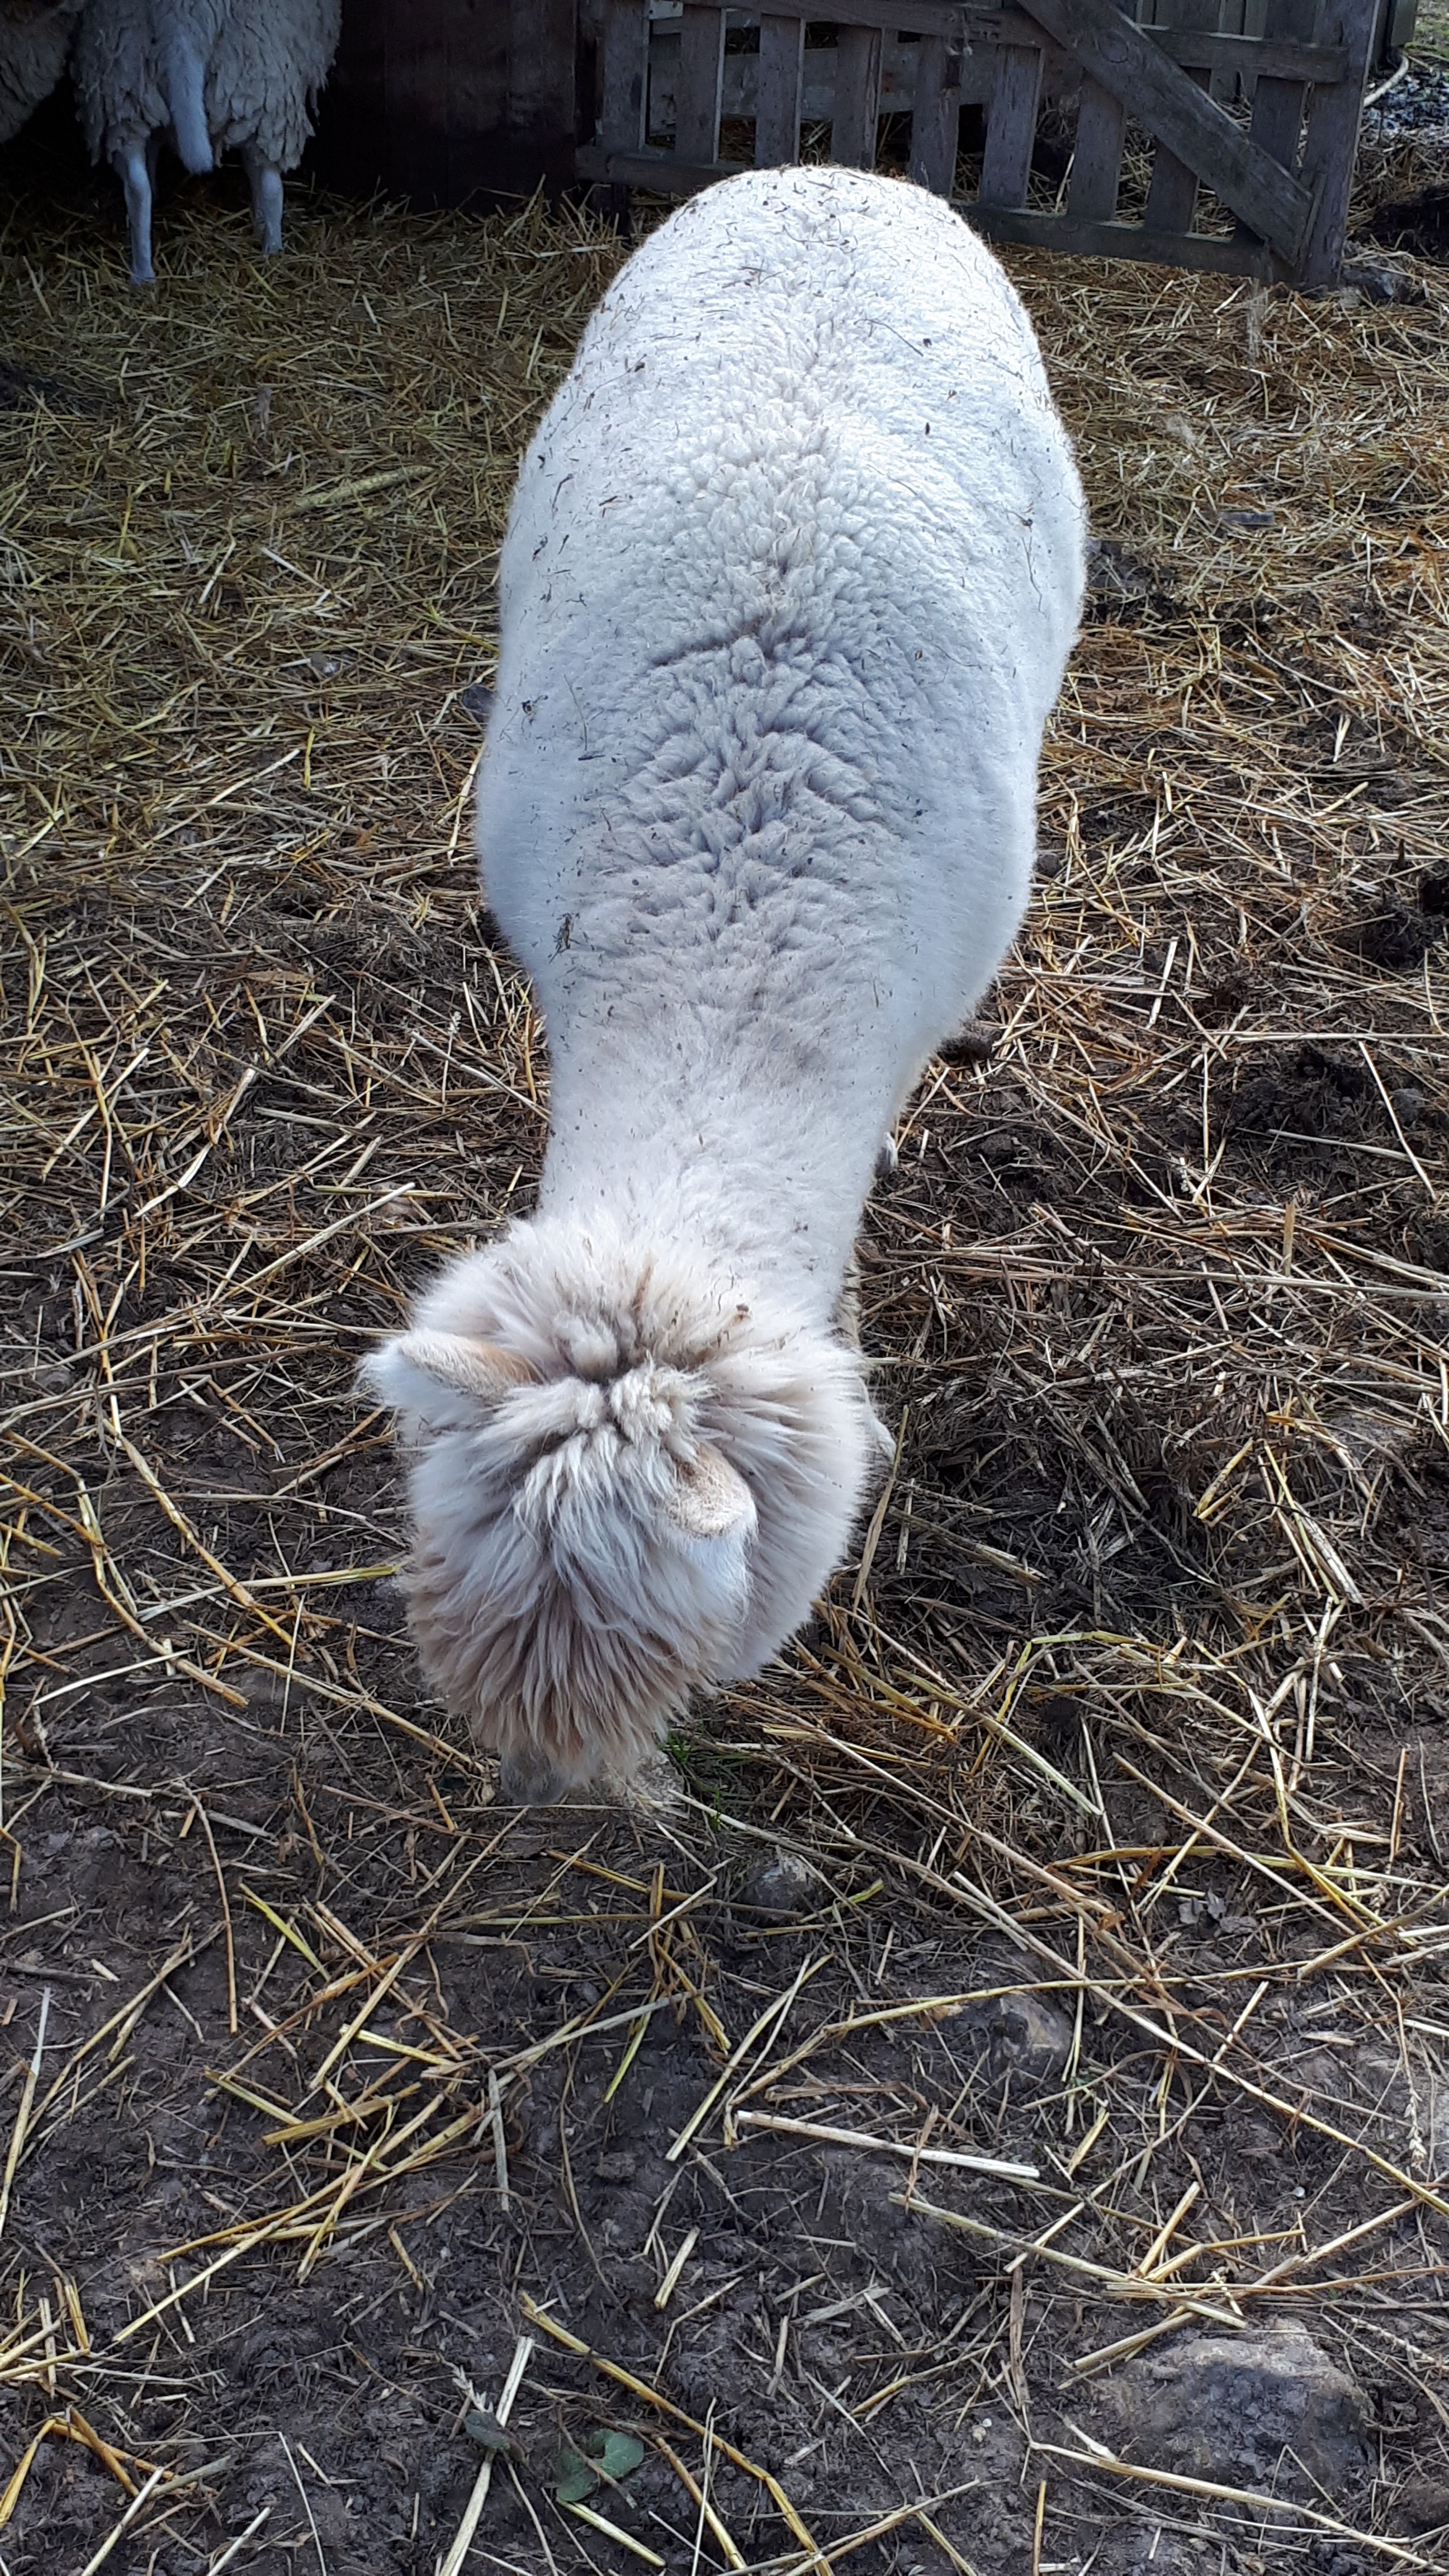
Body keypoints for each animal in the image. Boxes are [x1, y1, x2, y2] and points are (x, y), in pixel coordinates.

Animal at [70, 0, 338, 285]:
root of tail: (180, 17)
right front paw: (260, 220)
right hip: (263, 82)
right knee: (271, 184)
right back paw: (273, 253)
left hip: (121, 87)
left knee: (136, 185)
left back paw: (142, 275)